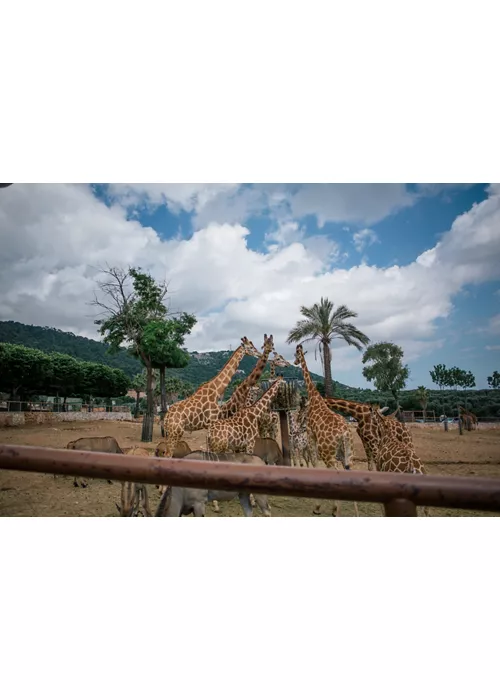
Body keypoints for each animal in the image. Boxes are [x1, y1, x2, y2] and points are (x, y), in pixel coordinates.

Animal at [294, 342, 358, 516]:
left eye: (296, 354)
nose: (294, 362)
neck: (314, 397)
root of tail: (344, 433)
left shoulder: (311, 434)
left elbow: (314, 462)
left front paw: (317, 506)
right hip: (347, 452)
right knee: (350, 470)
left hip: (328, 452)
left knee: (336, 470)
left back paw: (335, 510)